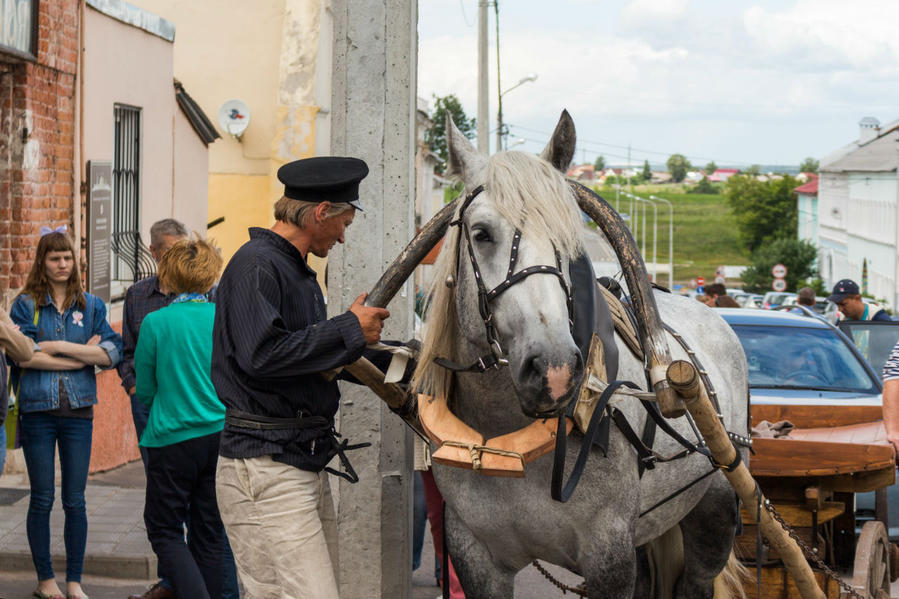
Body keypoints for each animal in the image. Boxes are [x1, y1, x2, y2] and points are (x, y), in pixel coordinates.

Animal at [412, 111, 748, 596]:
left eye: (569, 241)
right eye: (481, 233)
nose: (553, 370)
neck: (505, 429)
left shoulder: (609, 555)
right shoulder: (474, 555)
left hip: (714, 511)